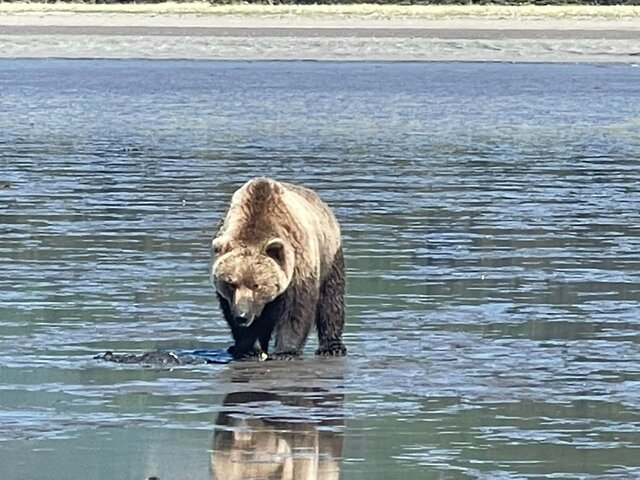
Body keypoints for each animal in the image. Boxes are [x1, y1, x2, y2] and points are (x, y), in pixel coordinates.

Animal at [210, 178, 344, 358]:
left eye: (256, 285)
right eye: (231, 284)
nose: (242, 315)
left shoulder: (298, 264)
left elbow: (296, 309)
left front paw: (286, 351)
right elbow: (234, 316)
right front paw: (249, 349)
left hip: (329, 256)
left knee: (331, 299)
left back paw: (332, 347)